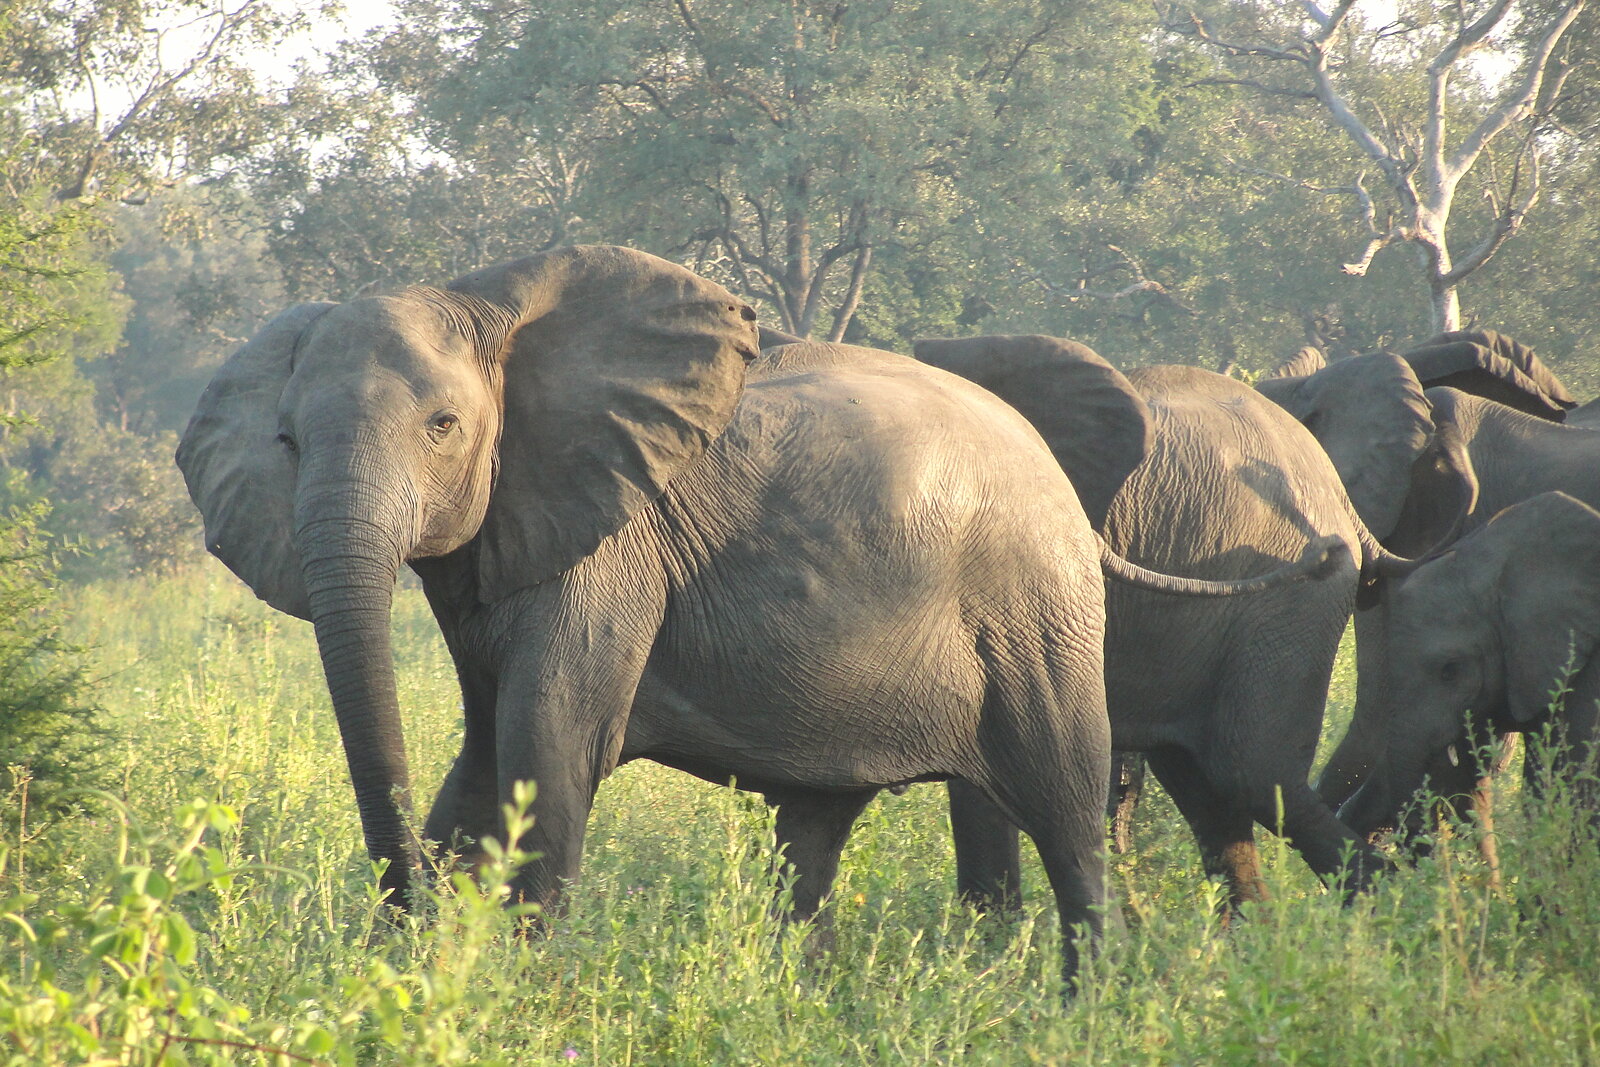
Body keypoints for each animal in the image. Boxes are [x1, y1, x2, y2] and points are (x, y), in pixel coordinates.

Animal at [177, 246, 1332, 982]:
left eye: (444, 426)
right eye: (285, 440)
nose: (407, 911)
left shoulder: (612, 546)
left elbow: (545, 749)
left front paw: (521, 992)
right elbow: (484, 760)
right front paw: (409, 977)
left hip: (1033, 606)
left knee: (1071, 800)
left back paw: (1086, 1005)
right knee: (814, 829)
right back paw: (806, 1000)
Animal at [912, 335, 1420, 911]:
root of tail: (1337, 491)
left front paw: (989, 933)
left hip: (1289, 602)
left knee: (1252, 772)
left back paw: (1380, 907)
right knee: (1201, 782)